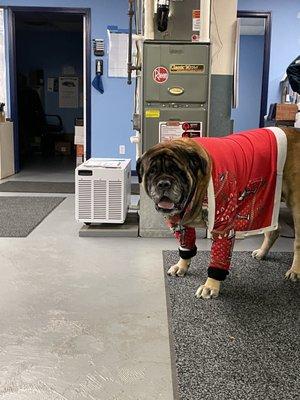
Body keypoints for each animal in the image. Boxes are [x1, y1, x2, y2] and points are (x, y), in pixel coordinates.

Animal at [137, 126, 300, 298]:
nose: (163, 183)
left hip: (296, 205)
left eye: (178, 171)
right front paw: (182, 265)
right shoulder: (179, 223)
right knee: (273, 230)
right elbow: (186, 245)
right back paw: (262, 253)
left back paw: (294, 271)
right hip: (269, 201)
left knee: (297, 241)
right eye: (152, 171)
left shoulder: (223, 226)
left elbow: (218, 257)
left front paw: (210, 286)